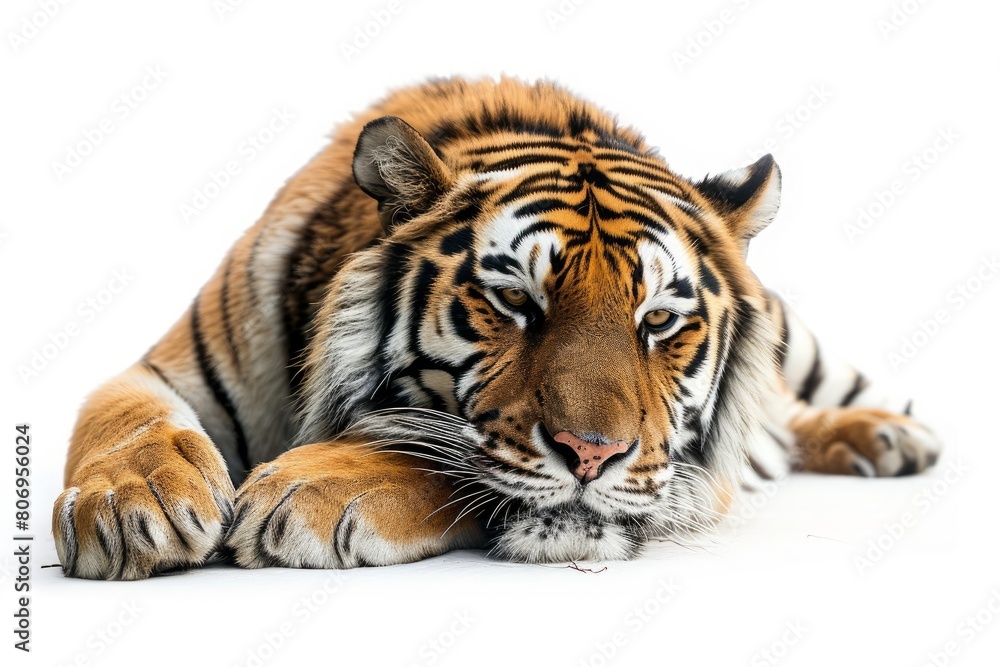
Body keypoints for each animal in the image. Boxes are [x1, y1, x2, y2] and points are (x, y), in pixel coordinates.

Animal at [52, 76, 942, 580]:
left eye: (659, 320)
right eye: (515, 301)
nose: (593, 454)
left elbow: (439, 456)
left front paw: (311, 488)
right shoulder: (164, 369)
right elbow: (127, 420)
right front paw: (131, 504)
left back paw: (891, 435)